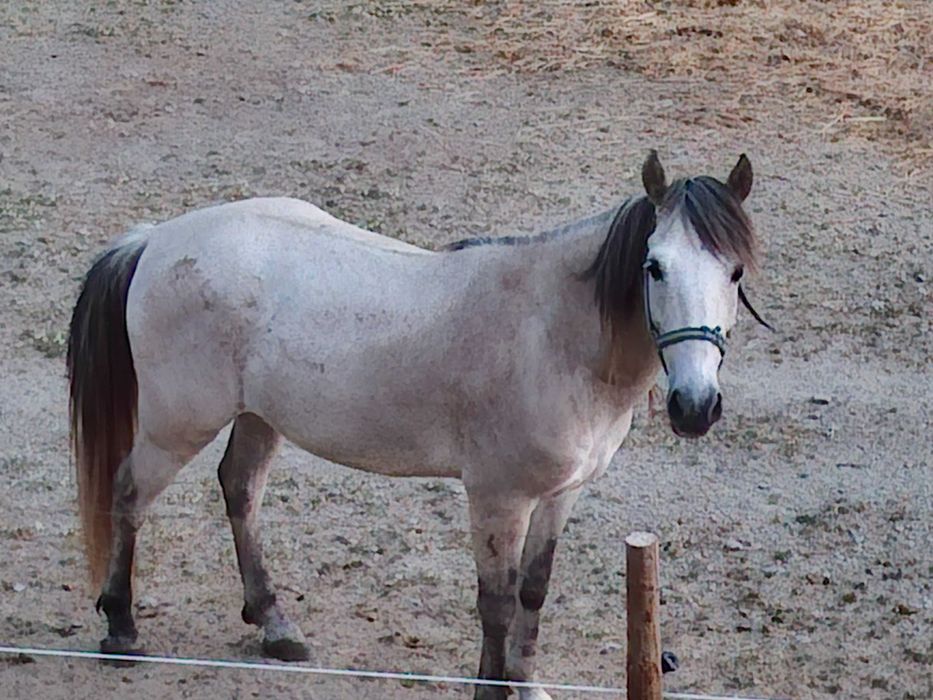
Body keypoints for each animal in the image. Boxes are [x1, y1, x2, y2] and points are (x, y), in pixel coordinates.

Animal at [67, 151, 767, 700]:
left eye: (734, 272)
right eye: (654, 267)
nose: (695, 406)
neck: (552, 334)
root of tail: (156, 239)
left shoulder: (560, 496)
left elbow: (533, 594)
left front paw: (527, 686)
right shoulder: (498, 499)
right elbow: (496, 604)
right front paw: (492, 693)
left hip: (259, 417)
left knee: (240, 491)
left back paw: (275, 624)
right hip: (176, 424)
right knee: (129, 494)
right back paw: (122, 627)